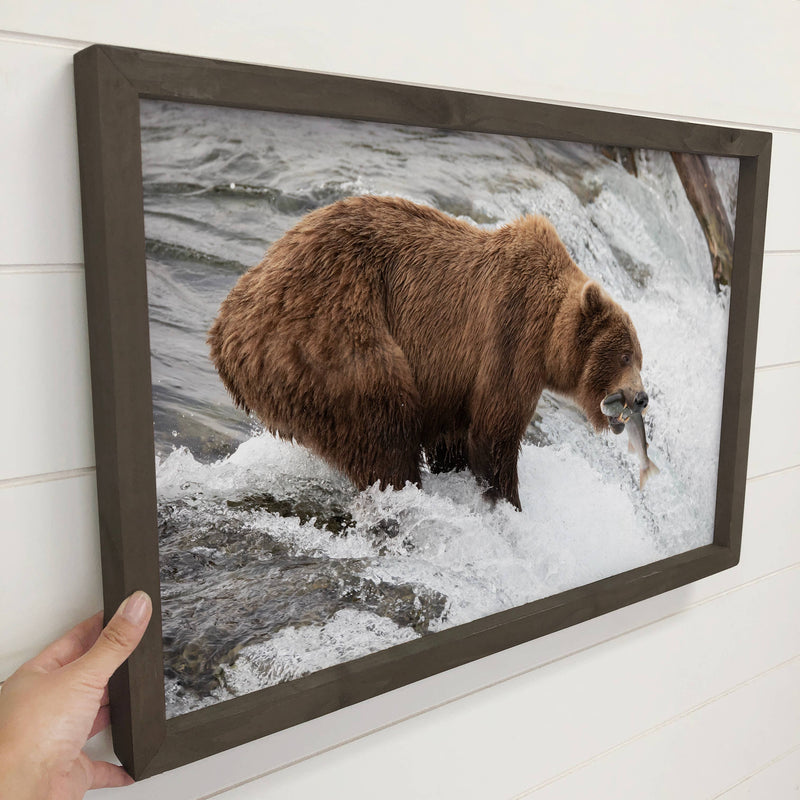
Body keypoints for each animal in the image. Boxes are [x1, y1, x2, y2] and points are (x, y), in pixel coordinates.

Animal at [206, 195, 644, 510]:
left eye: (640, 357)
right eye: (625, 356)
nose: (641, 397)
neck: (549, 333)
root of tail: (225, 328)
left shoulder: (455, 379)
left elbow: (455, 438)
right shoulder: (510, 337)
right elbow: (494, 434)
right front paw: (509, 502)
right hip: (329, 333)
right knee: (383, 423)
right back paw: (403, 490)